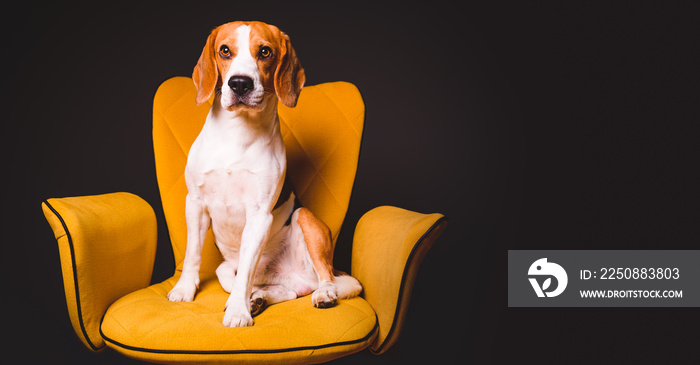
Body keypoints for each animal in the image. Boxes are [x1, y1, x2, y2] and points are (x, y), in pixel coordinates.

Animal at [164, 21, 360, 326]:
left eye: (265, 52)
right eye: (225, 50)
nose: (240, 83)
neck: (236, 133)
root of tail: (298, 276)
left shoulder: (259, 215)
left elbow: (245, 271)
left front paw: (238, 311)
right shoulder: (195, 203)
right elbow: (192, 253)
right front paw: (185, 289)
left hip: (306, 220)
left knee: (324, 277)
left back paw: (322, 294)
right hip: (232, 269)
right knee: (283, 290)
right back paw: (258, 298)